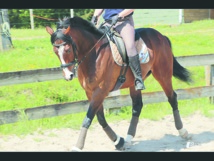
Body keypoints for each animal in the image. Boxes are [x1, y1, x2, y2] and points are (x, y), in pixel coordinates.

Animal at [45, 16, 192, 151]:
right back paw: (128, 139)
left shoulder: (101, 91)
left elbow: (88, 118)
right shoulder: (90, 92)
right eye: (55, 51)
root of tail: (161, 36)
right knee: (137, 106)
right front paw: (118, 142)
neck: (94, 54)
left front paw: (78, 146)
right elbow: (100, 118)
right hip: (134, 84)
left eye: (68, 49)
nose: (68, 76)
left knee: (172, 98)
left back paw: (183, 132)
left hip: (163, 75)